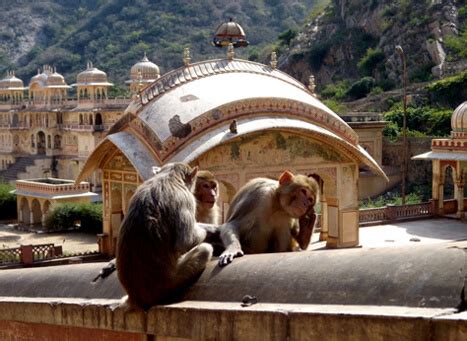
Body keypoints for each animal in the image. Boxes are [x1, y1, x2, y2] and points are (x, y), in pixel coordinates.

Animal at [117, 162, 214, 308]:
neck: (170, 176)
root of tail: (136, 298)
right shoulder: (187, 199)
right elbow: (185, 241)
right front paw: (204, 229)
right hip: (172, 282)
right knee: (205, 249)